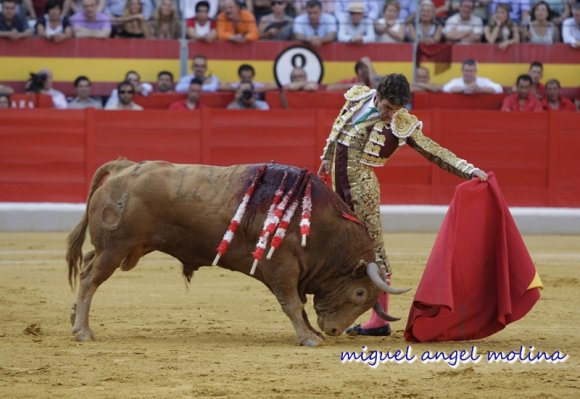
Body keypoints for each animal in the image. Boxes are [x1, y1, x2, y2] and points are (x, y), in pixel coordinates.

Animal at [67, 159, 408, 346]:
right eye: (360, 293)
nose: (336, 330)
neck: (322, 227)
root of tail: (123, 167)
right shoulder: (282, 267)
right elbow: (292, 303)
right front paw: (309, 338)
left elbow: (299, 305)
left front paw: (314, 333)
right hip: (115, 248)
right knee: (90, 279)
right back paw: (83, 331)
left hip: (116, 248)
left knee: (88, 264)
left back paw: (74, 318)